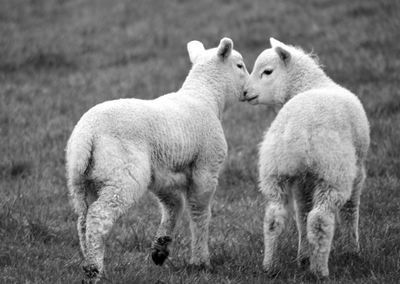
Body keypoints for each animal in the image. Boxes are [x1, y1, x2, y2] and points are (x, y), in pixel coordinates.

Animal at [65, 37, 247, 282]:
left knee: (82, 221)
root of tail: (87, 134)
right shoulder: (206, 167)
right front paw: (200, 261)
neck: (205, 97)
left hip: (81, 181)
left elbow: (173, 205)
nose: (248, 91)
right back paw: (94, 270)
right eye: (240, 66)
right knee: (98, 216)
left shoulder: (162, 173)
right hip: (122, 175)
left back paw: (92, 263)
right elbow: (199, 213)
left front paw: (160, 250)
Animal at [239, 37, 370, 278]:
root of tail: (298, 131)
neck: (311, 84)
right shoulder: (359, 169)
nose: (244, 92)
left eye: (267, 71)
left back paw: (271, 265)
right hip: (333, 172)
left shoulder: (302, 180)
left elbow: (301, 212)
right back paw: (320, 271)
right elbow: (351, 209)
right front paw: (353, 251)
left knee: (275, 217)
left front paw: (304, 256)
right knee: (319, 219)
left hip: (275, 170)